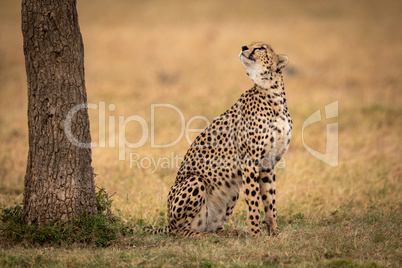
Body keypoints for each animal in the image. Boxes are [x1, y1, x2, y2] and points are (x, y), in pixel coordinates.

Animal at [145, 42, 292, 237]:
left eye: (260, 48)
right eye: (250, 45)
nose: (243, 47)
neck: (273, 95)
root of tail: (168, 222)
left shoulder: (268, 164)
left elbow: (270, 201)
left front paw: (274, 232)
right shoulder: (249, 161)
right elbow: (254, 203)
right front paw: (256, 234)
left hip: (232, 190)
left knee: (211, 225)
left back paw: (227, 232)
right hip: (195, 181)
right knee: (180, 231)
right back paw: (203, 235)